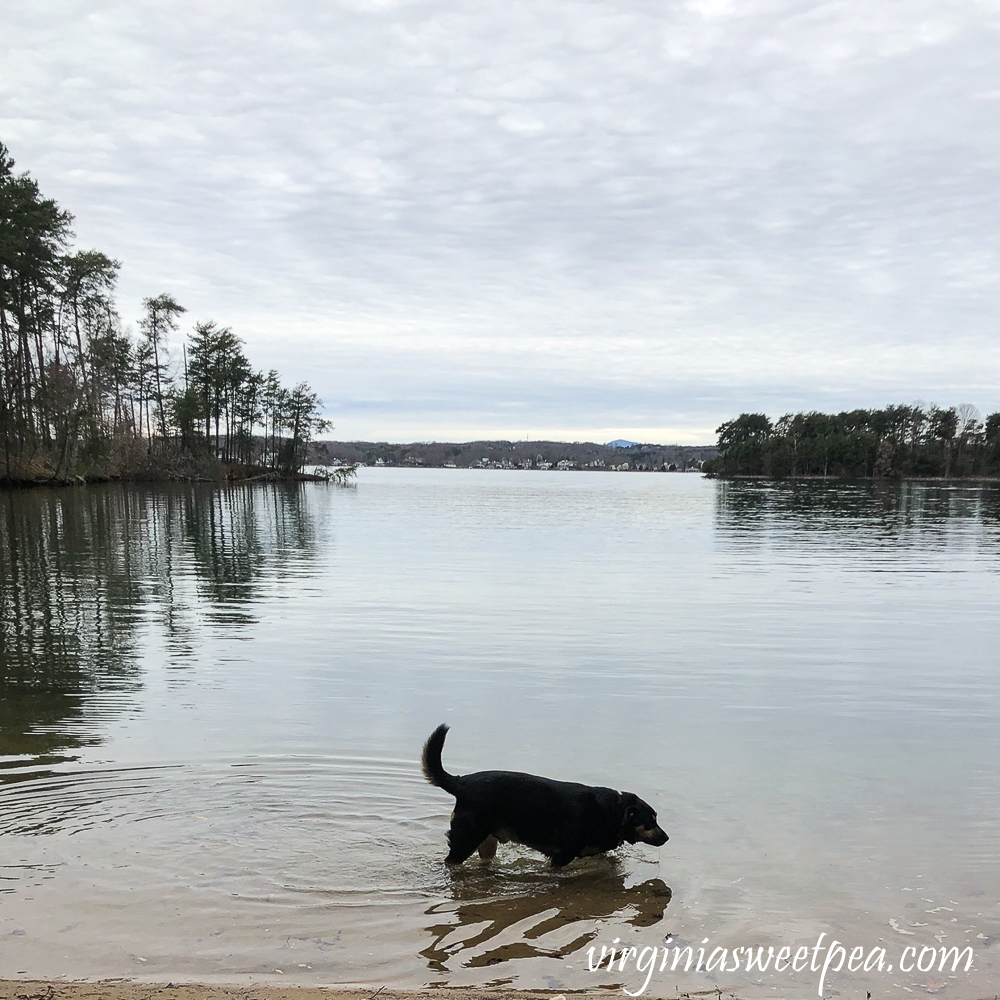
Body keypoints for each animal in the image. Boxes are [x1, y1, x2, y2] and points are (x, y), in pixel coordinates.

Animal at [418, 728, 668, 868]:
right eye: (650, 821)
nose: (666, 838)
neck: (613, 812)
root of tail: (461, 782)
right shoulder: (562, 855)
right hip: (466, 839)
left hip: (487, 841)